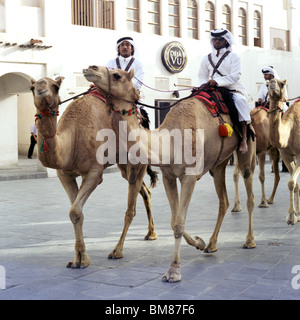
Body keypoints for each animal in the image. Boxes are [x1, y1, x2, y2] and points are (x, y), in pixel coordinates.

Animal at [29, 77, 159, 268]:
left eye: (56, 86)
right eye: (31, 87)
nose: (40, 87)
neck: (72, 139)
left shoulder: (93, 173)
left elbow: (75, 211)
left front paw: (83, 259)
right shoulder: (65, 175)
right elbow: (75, 213)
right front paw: (77, 259)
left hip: (138, 158)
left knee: (131, 208)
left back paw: (117, 250)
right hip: (123, 163)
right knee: (144, 191)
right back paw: (151, 233)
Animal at [83, 65, 256, 282]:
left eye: (117, 75)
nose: (90, 68)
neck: (169, 141)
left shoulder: (189, 176)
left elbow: (179, 223)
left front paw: (174, 270)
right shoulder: (169, 177)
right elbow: (174, 221)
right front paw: (198, 242)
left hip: (246, 148)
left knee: (249, 192)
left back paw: (249, 241)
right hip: (218, 164)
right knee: (223, 200)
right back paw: (211, 244)